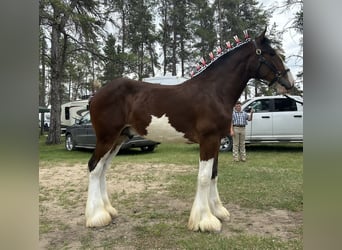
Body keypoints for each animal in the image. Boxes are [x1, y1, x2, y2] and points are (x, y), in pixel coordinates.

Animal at [85, 29, 294, 232]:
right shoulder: (208, 139)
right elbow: (204, 177)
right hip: (106, 138)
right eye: (271, 53)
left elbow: (213, 174)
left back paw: (108, 211)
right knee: (94, 167)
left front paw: (218, 211)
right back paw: (97, 217)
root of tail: (95, 95)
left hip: (118, 139)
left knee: (103, 169)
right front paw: (205, 220)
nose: (289, 82)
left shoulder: (217, 141)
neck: (214, 92)